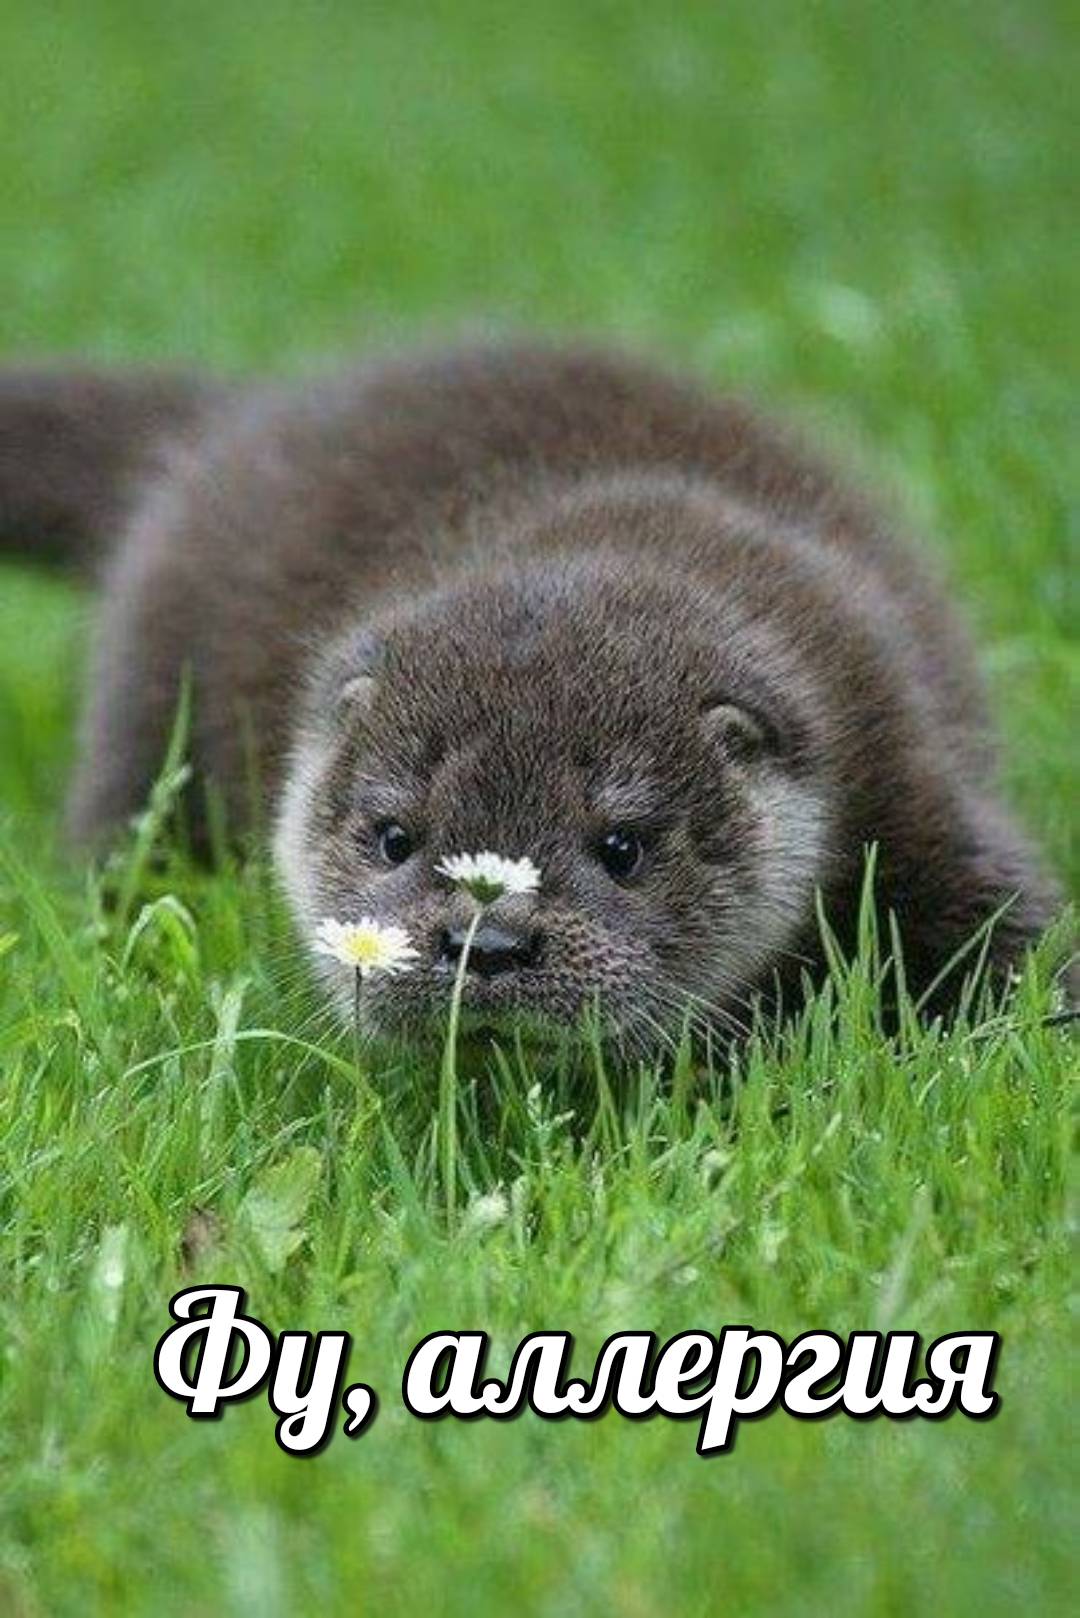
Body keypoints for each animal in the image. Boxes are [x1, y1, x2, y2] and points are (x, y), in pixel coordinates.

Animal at [0, 341, 1065, 1049]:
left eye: (623, 846)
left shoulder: (901, 752)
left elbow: (1008, 922)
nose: (487, 941)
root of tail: (235, 417)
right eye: (395, 836)